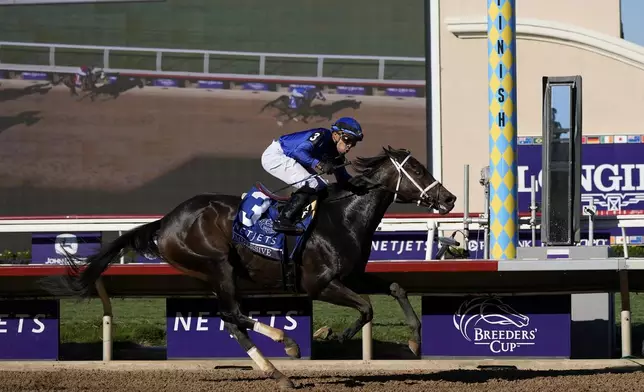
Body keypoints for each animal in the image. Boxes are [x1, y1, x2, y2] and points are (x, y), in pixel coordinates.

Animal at [44, 146, 458, 388]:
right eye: (417, 169)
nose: (450, 198)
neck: (342, 218)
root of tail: (166, 221)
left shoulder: (353, 275)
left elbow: (395, 288)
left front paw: (414, 338)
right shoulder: (321, 284)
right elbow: (367, 308)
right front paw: (335, 338)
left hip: (215, 275)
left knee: (232, 320)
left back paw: (275, 370)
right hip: (218, 265)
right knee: (233, 314)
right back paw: (287, 346)